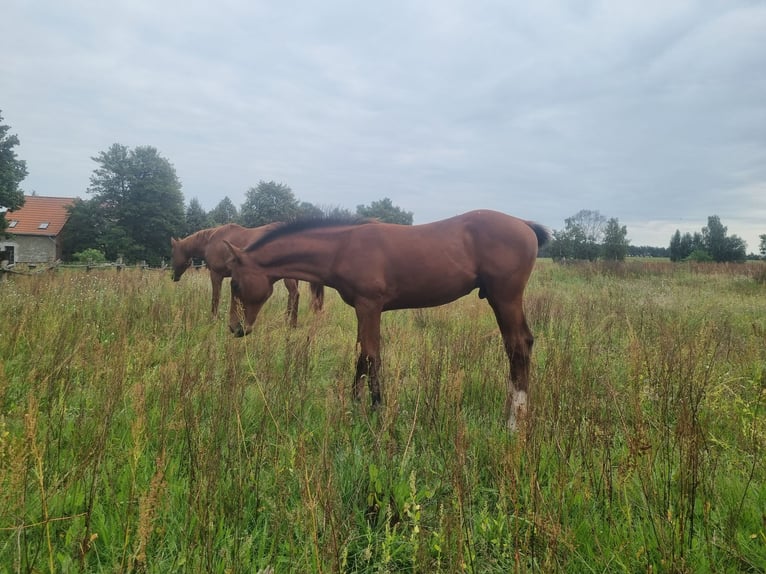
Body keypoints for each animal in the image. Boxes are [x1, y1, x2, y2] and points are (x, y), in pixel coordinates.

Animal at [172, 223, 326, 330]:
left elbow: (215, 299)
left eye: (174, 253)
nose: (174, 277)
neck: (211, 241)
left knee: (294, 294)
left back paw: (291, 325)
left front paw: (213, 320)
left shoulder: (216, 274)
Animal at [222, 209, 552, 430]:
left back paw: (514, 423)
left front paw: (375, 412)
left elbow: (370, 356)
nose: (236, 328)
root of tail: (524, 225)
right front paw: (354, 408)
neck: (343, 248)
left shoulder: (370, 306)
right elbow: (361, 356)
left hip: (505, 298)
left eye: (235, 283)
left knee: (518, 347)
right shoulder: (362, 309)